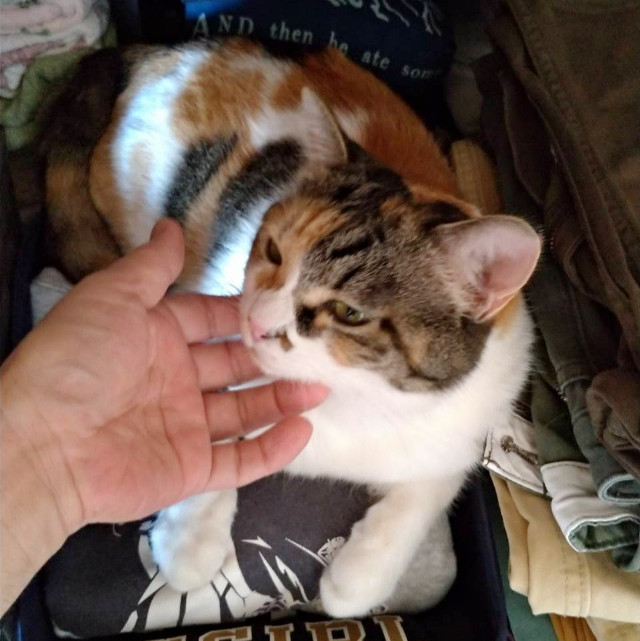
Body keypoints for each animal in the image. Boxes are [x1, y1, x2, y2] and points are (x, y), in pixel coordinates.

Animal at [42, 38, 541, 617]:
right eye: (274, 252)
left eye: (350, 314)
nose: (256, 321)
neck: (347, 400)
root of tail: (162, 48)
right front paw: (189, 543)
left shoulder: (465, 423)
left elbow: (425, 495)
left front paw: (355, 582)